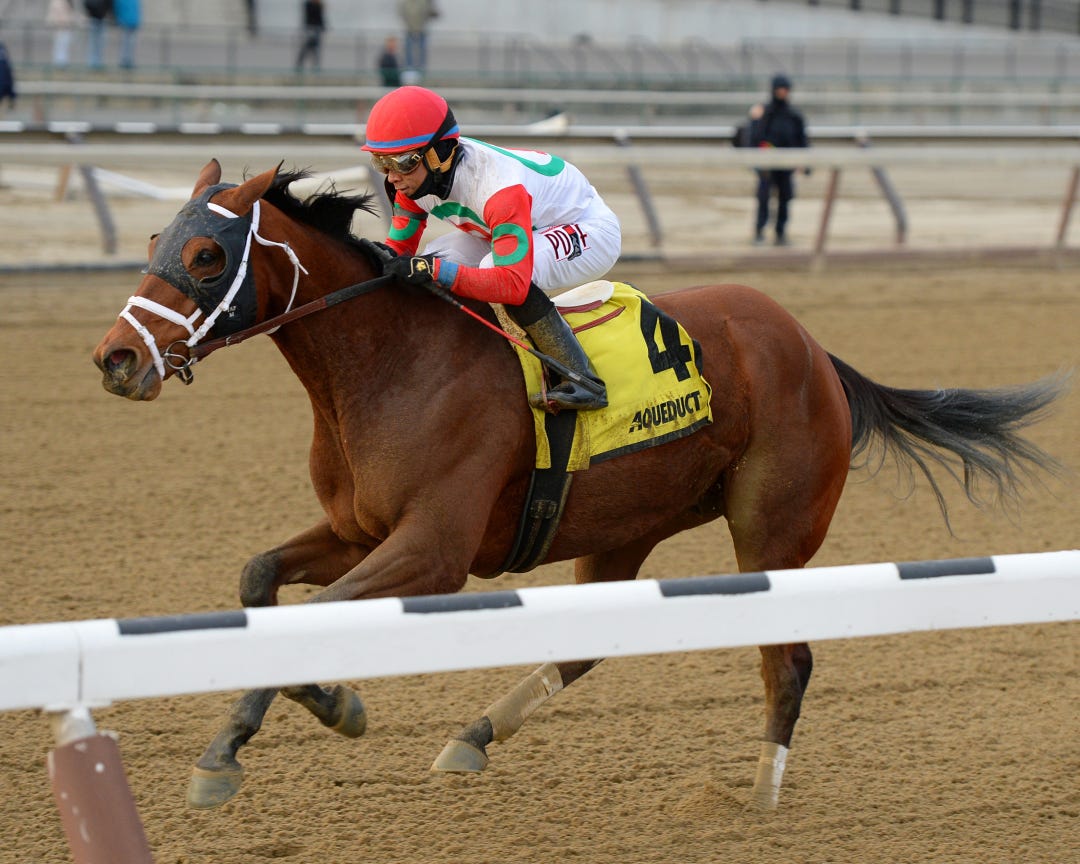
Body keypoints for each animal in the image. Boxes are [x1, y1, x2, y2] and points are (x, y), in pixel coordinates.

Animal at [92, 159, 1065, 811]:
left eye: (207, 253)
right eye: (152, 241)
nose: (116, 359)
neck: (390, 366)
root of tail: (815, 349)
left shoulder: (434, 553)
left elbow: (315, 614)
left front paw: (280, 732)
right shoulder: (361, 530)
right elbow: (259, 578)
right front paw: (295, 716)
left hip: (773, 528)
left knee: (786, 658)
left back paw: (760, 792)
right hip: (626, 525)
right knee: (591, 641)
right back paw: (473, 738)